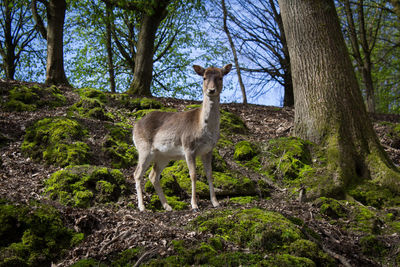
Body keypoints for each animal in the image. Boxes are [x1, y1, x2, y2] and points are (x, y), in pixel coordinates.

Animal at [132, 63, 231, 213]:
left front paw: (216, 203)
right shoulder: (188, 147)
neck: (203, 128)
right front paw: (194, 205)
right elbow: (193, 174)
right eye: (204, 77)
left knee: (153, 175)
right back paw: (142, 207)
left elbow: (209, 174)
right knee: (137, 173)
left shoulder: (208, 150)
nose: (211, 90)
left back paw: (168, 206)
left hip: (163, 156)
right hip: (144, 149)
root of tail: (134, 126)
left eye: (220, 77)